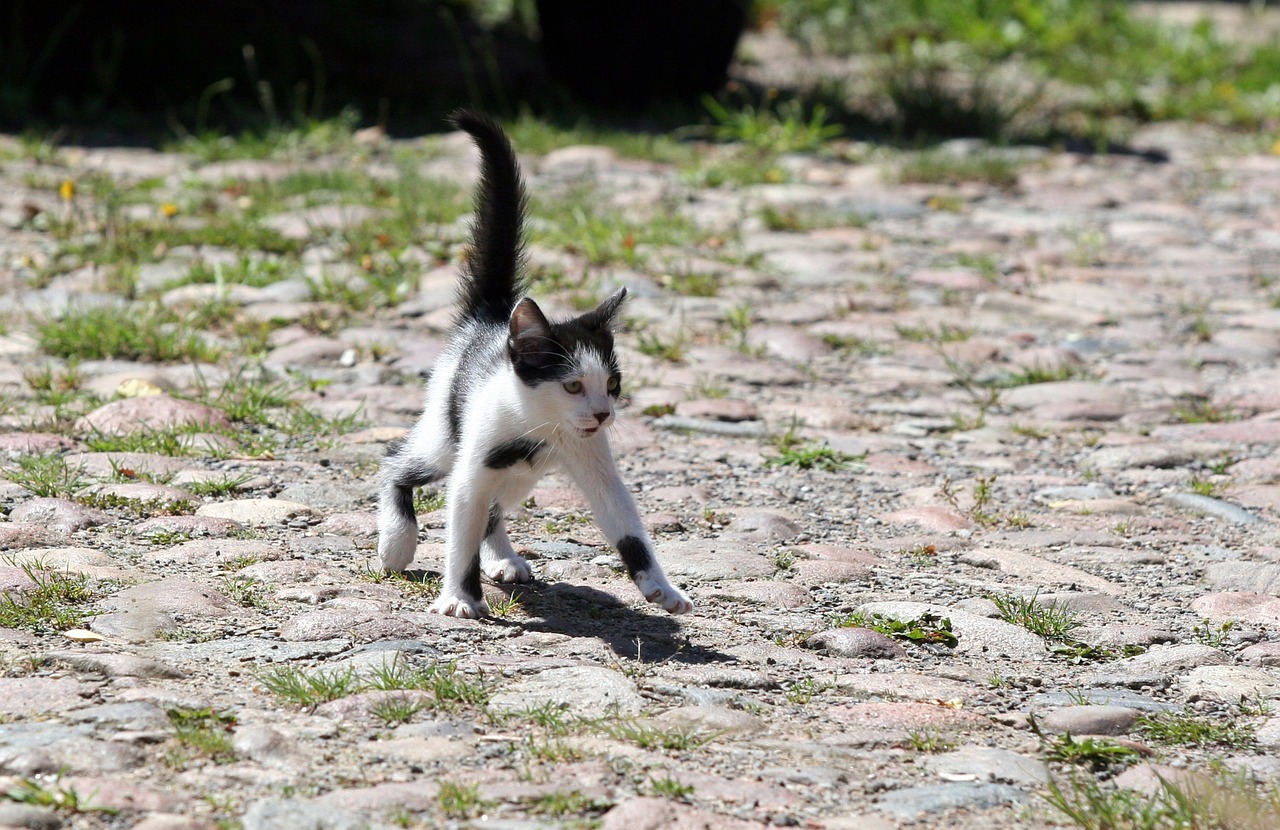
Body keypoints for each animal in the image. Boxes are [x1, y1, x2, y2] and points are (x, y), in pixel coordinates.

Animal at [373, 110, 696, 619]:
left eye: (613, 383)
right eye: (572, 386)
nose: (603, 413)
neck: (537, 425)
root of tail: (491, 314)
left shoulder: (593, 462)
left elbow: (626, 523)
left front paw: (661, 587)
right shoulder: (472, 467)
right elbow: (459, 530)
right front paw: (459, 596)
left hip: (520, 477)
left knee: (493, 509)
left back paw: (501, 557)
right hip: (446, 436)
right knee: (397, 464)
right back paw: (397, 543)